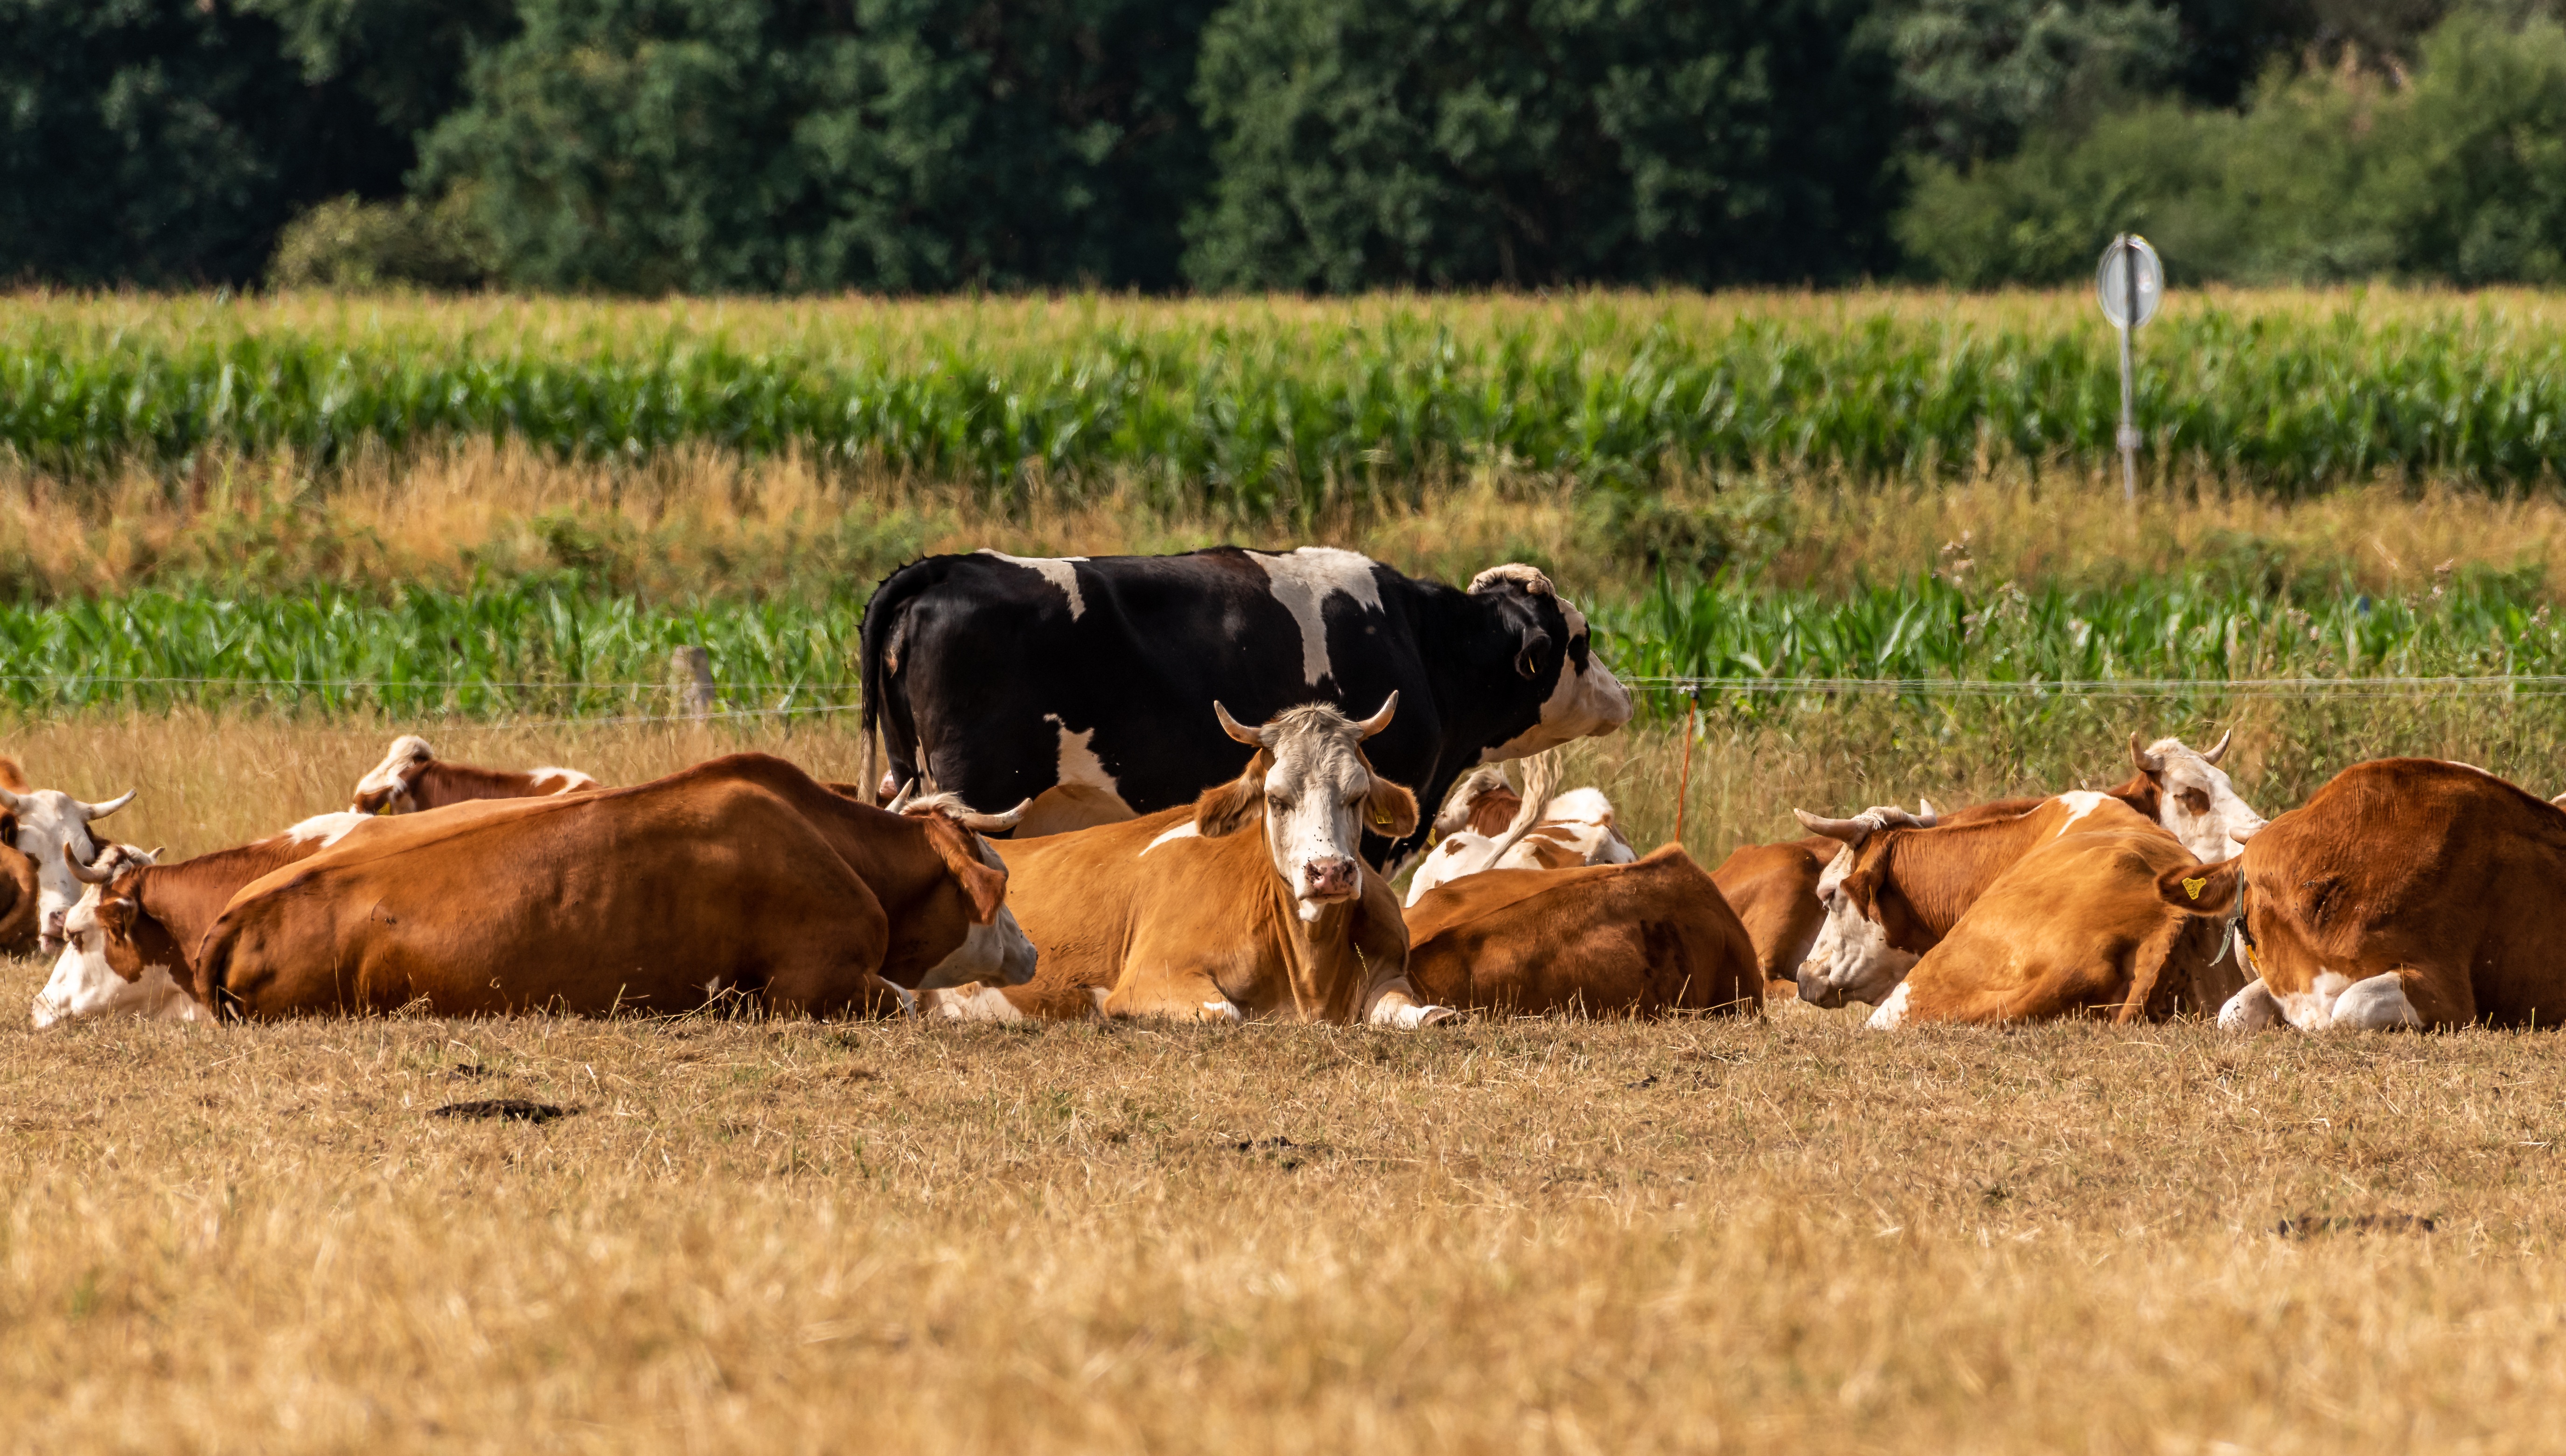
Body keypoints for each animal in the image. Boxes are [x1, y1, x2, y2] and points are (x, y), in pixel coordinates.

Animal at [857, 549, 1632, 861]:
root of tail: (946, 566)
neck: (1422, 642)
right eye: (1582, 641)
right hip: (979, 787)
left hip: (909, 768)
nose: (1624, 696)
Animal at [917, 697, 1450, 1027]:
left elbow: (1427, 1016)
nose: (1330, 871)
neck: (1310, 973)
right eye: (1276, 798)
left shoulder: (1391, 973)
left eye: (1356, 796)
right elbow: (1227, 1013)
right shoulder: (1152, 976)